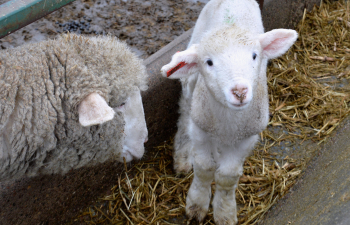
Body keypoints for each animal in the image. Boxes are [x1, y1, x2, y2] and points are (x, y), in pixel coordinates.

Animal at [161, 0, 298, 224]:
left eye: (254, 55)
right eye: (209, 62)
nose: (240, 91)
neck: (228, 121)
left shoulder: (246, 138)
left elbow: (227, 177)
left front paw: (224, 213)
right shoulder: (201, 130)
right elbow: (204, 169)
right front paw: (196, 204)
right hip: (192, 74)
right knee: (185, 110)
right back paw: (182, 156)